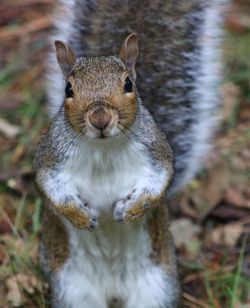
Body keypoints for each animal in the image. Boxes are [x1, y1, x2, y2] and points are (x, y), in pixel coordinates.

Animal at [33, 0, 227, 308]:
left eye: (128, 84)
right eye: (68, 89)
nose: (100, 118)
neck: (103, 149)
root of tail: (114, 291)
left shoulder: (156, 151)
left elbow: (159, 181)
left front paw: (133, 208)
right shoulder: (51, 156)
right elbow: (51, 188)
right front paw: (79, 216)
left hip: (156, 289)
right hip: (72, 290)